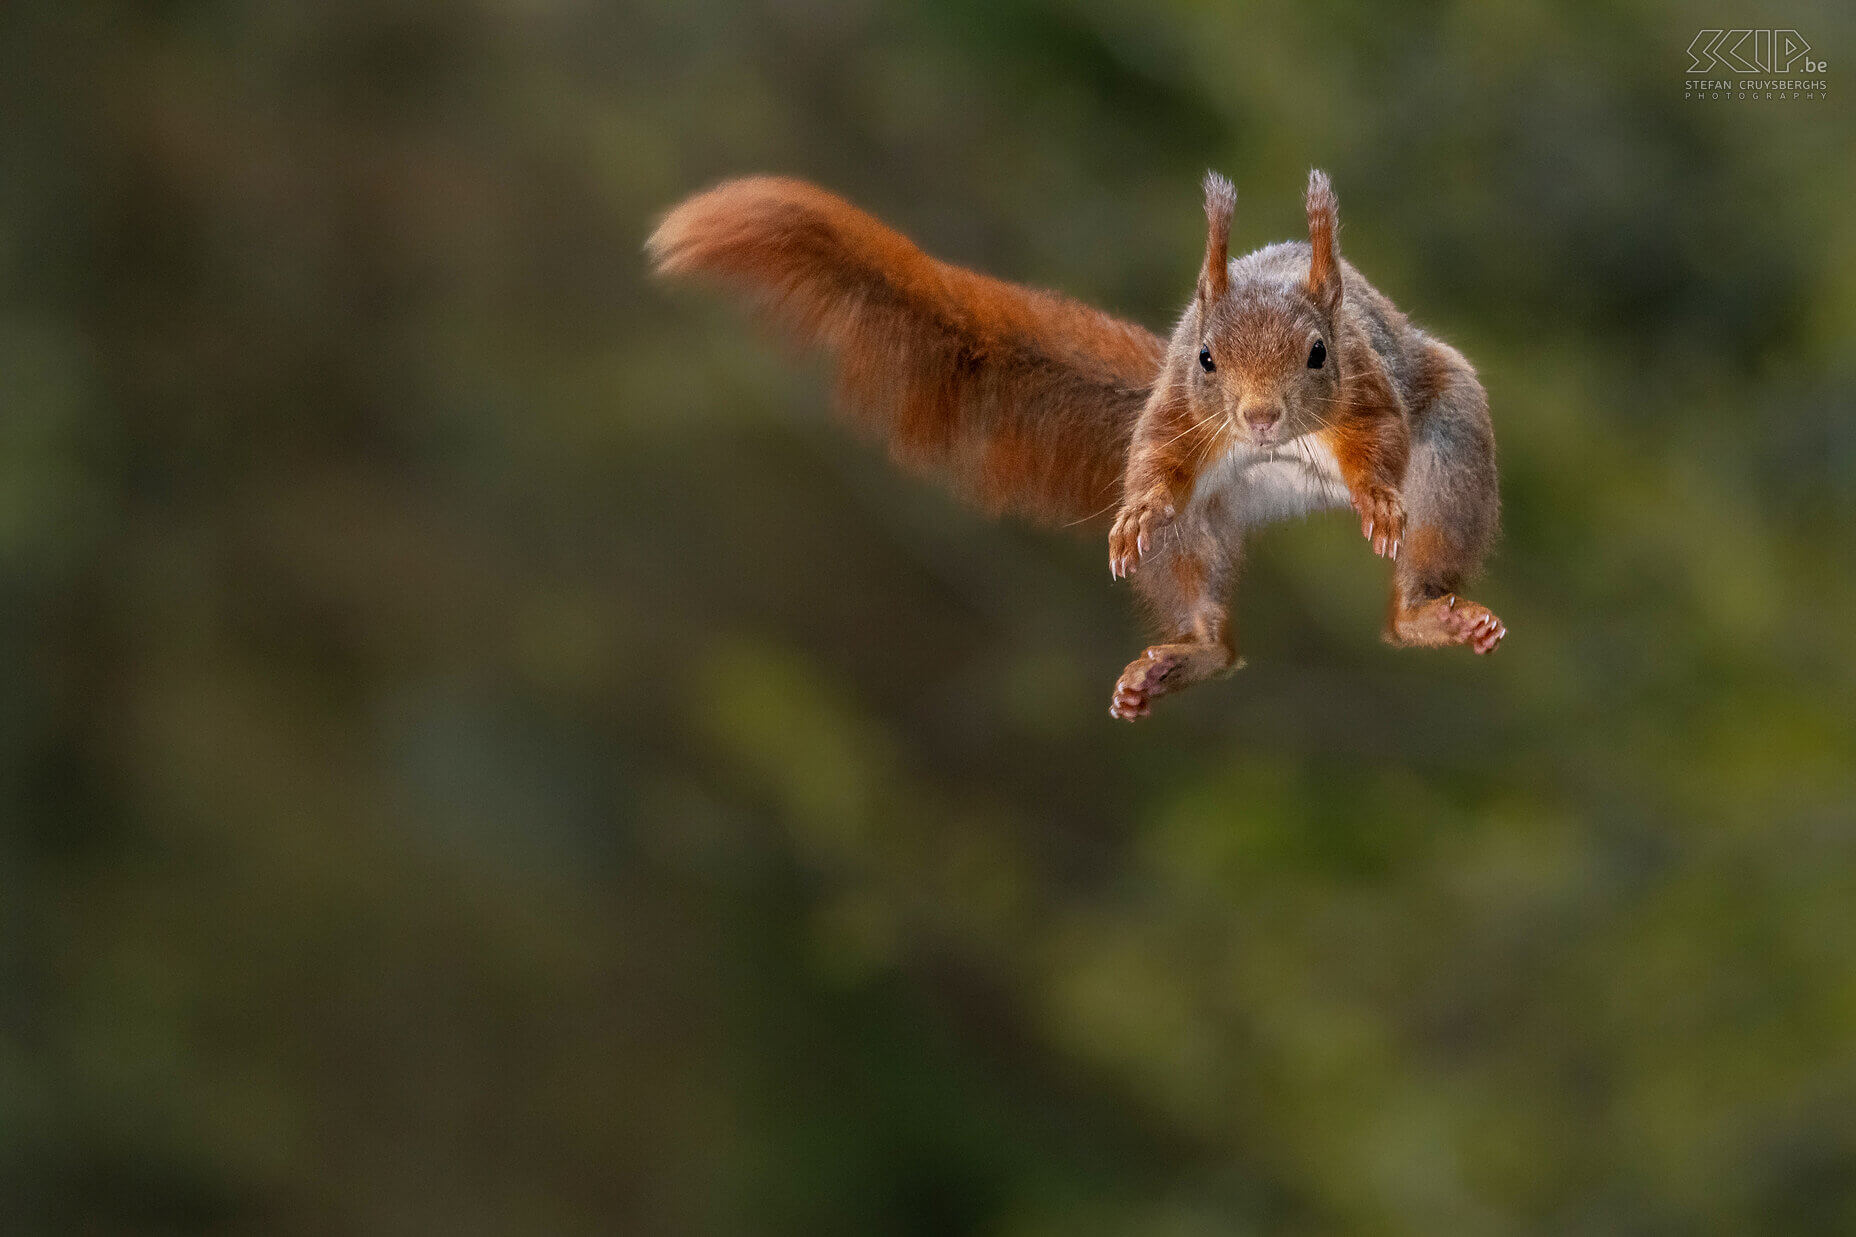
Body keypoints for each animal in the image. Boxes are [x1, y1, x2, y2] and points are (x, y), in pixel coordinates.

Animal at [645, 169, 1499, 716]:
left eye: (1319, 353)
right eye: (1205, 357)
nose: (1258, 419)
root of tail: (1288, 487)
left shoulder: (1369, 385)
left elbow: (1379, 437)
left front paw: (1379, 499)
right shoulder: (1175, 410)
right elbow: (1155, 456)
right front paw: (1136, 511)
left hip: (1452, 451)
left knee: (1420, 560)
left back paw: (1429, 614)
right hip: (1197, 524)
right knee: (1204, 610)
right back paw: (1186, 652)